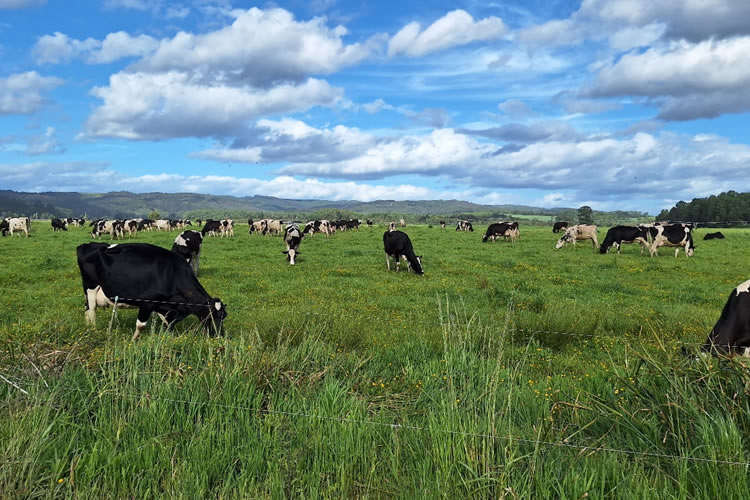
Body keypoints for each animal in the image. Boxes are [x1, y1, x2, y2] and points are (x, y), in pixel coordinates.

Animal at [78, 243, 229, 344]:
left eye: (224, 316)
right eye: (217, 316)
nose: (220, 335)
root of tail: (88, 245)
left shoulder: (166, 308)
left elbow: (169, 324)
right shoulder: (147, 303)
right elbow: (141, 325)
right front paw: (133, 341)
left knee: (87, 310)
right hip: (90, 287)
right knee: (91, 310)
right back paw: (93, 330)